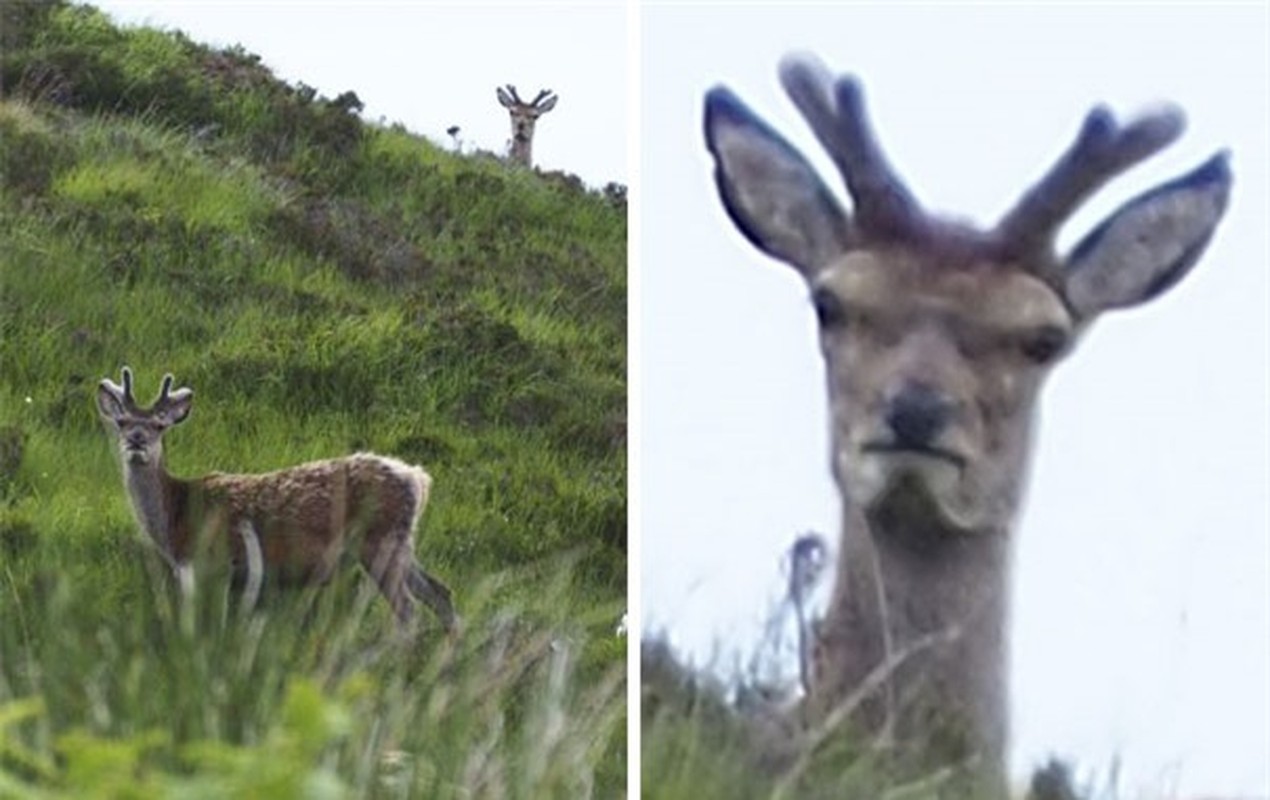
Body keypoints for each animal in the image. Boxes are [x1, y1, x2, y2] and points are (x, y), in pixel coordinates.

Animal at [96, 365, 459, 637]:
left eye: (159, 425)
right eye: (122, 422)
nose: (137, 440)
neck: (175, 516)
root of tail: (417, 478)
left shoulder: (208, 565)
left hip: (379, 540)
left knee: (409, 610)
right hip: (402, 543)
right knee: (442, 594)